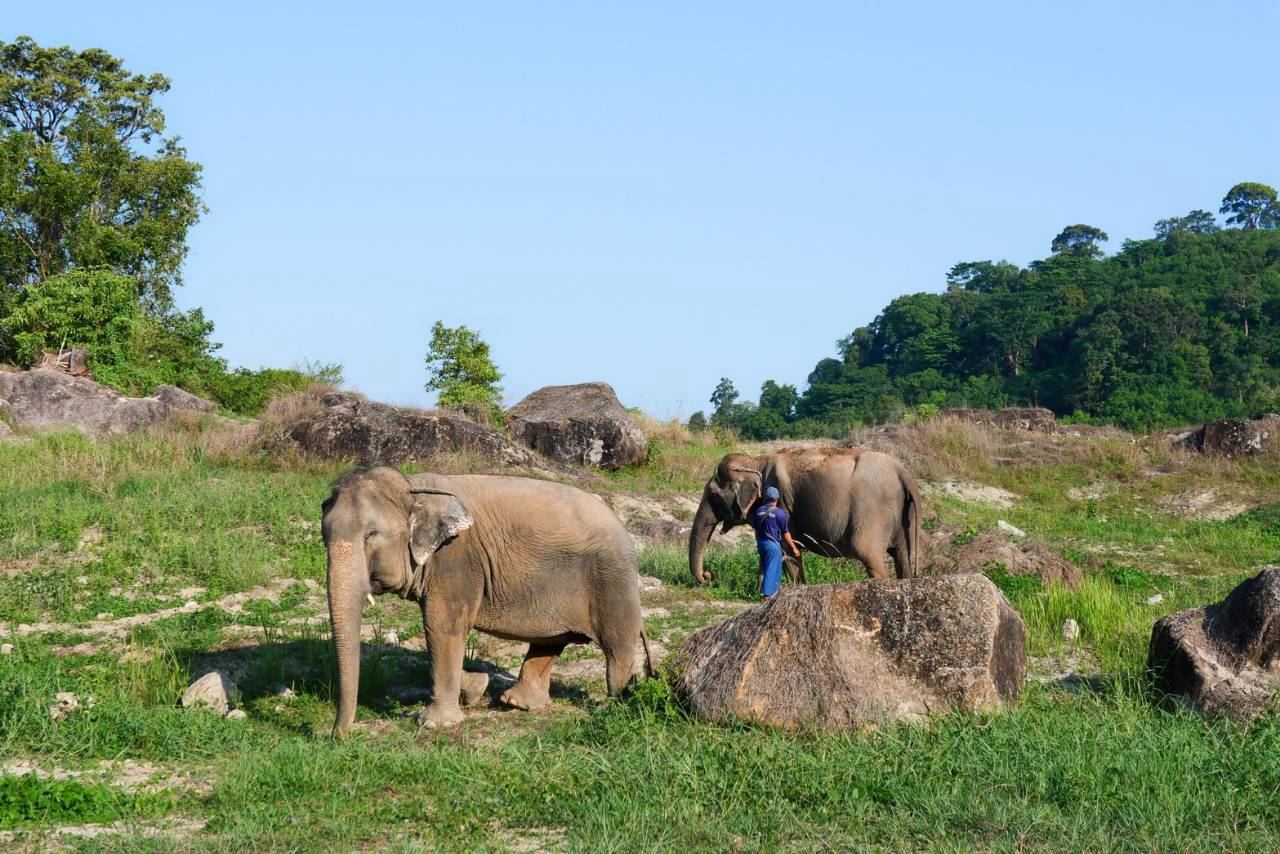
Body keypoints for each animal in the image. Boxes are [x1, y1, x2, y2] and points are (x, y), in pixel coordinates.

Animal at [322, 466, 652, 737]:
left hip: (612, 582)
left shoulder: (457, 559)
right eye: (325, 536)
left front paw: (435, 723)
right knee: (551, 641)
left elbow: (441, 625)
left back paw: (617, 704)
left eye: (371, 535)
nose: (338, 736)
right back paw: (516, 703)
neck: (412, 485)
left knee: (616, 648)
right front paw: (476, 687)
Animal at [688, 447, 921, 585]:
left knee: (868, 554)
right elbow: (768, 547)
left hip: (872, 511)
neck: (756, 461)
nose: (708, 576)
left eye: (713, 495)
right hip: (902, 517)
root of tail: (904, 473)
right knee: (902, 557)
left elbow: (786, 548)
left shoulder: (782, 504)